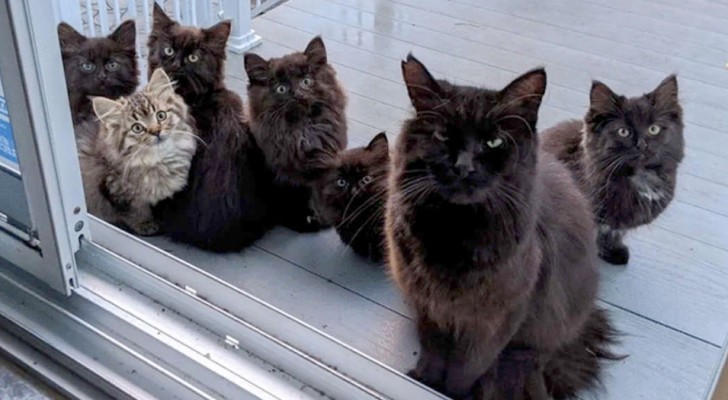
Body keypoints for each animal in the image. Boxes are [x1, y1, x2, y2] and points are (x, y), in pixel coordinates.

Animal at [77, 68, 198, 234]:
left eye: (161, 115)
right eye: (137, 128)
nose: (156, 131)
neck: (156, 161)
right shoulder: (114, 190)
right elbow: (136, 211)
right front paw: (145, 224)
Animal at [544, 77, 684, 266]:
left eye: (653, 129)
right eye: (623, 132)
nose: (641, 145)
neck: (638, 178)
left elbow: (612, 233)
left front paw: (613, 251)